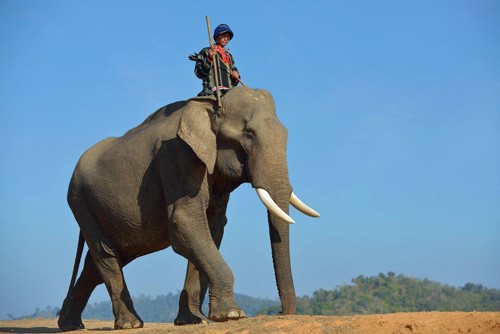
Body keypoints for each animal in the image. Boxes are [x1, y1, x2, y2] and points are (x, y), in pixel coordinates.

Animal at [56, 87, 318, 332]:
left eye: (286, 135)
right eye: (249, 135)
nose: (284, 312)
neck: (210, 105)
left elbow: (211, 230)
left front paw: (194, 320)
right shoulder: (178, 157)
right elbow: (186, 223)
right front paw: (232, 315)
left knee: (99, 261)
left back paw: (68, 324)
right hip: (80, 200)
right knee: (106, 253)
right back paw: (130, 324)